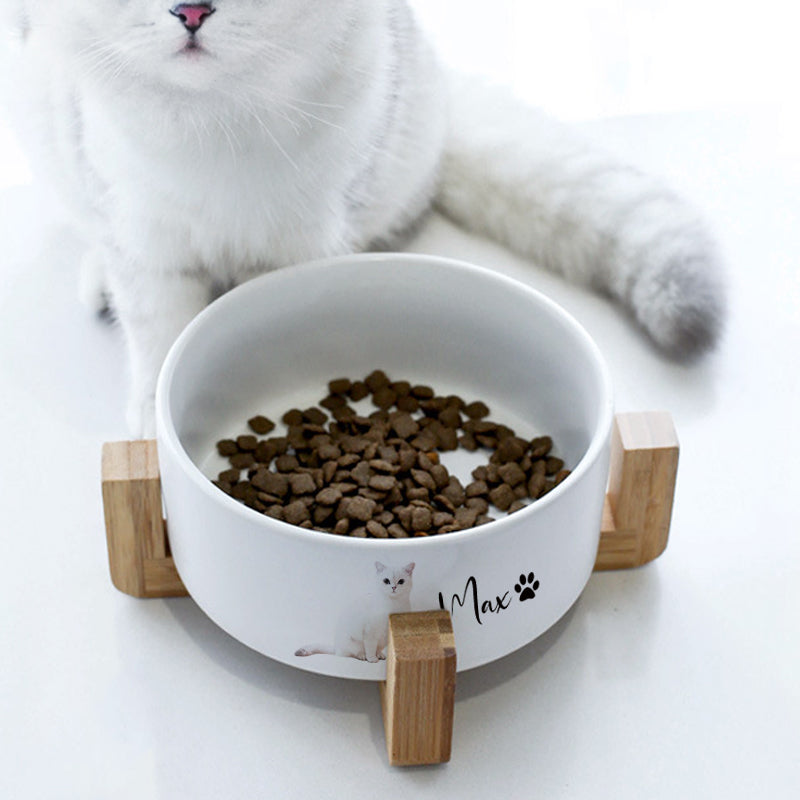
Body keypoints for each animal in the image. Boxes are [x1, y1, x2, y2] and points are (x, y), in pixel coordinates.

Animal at [0, 1, 724, 438]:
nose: (192, 10)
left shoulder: (301, 242)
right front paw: (154, 420)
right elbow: (159, 337)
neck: (215, 127)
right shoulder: (145, 245)